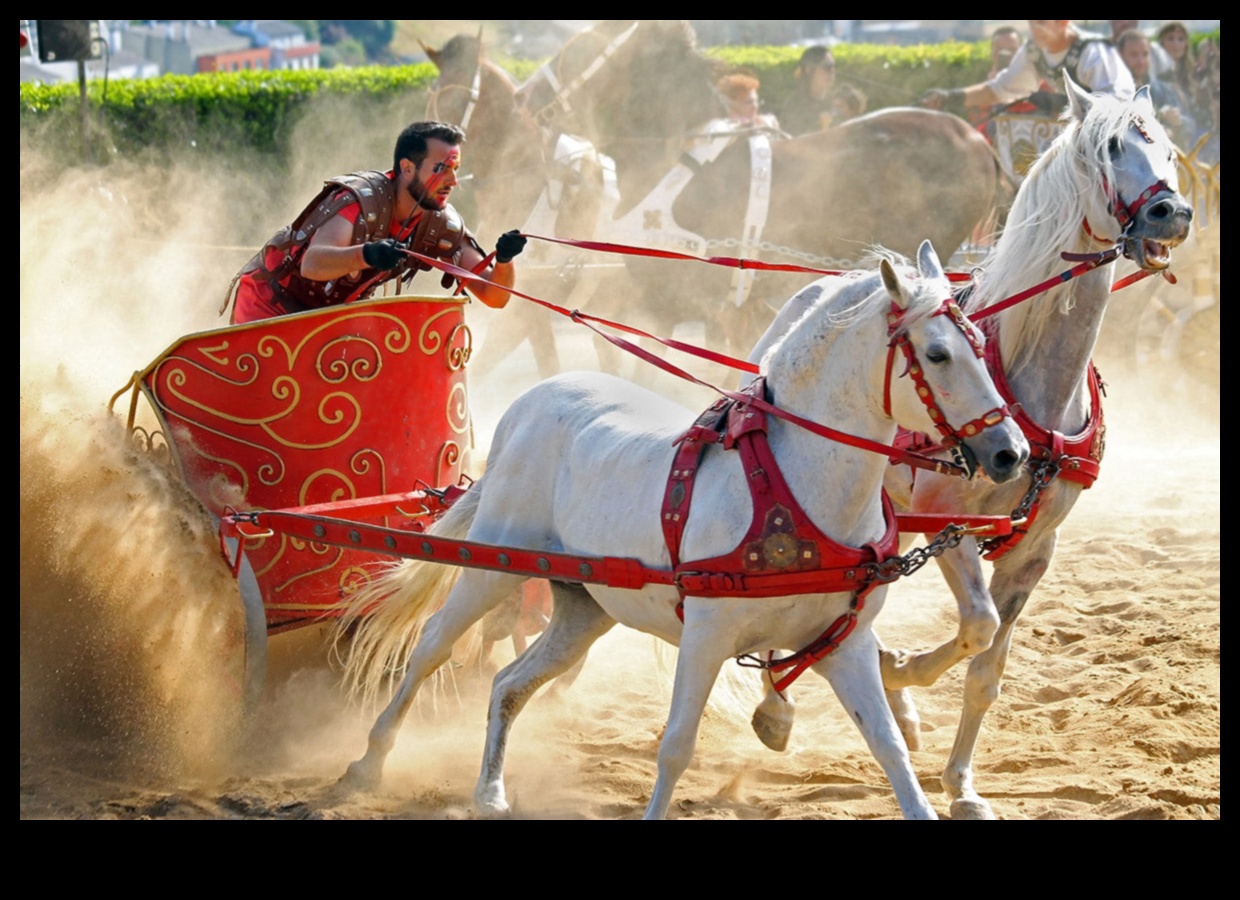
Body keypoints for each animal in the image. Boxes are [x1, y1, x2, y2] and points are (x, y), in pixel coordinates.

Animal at [334, 241, 1031, 823]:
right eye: (937, 354)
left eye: (980, 342)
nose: (1011, 453)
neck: (796, 483)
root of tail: (528, 405)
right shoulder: (705, 636)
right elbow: (676, 746)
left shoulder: (845, 643)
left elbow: (888, 747)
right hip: (493, 565)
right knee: (431, 646)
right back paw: (366, 762)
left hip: (583, 608)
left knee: (510, 683)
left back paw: (490, 792)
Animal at [744, 79, 1190, 823]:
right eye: (1110, 148)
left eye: (1169, 148)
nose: (1171, 213)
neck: (1031, 378)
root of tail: (814, 291)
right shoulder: (948, 526)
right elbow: (976, 625)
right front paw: (903, 668)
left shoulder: (1034, 550)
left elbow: (988, 669)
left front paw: (961, 784)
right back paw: (789, 700)